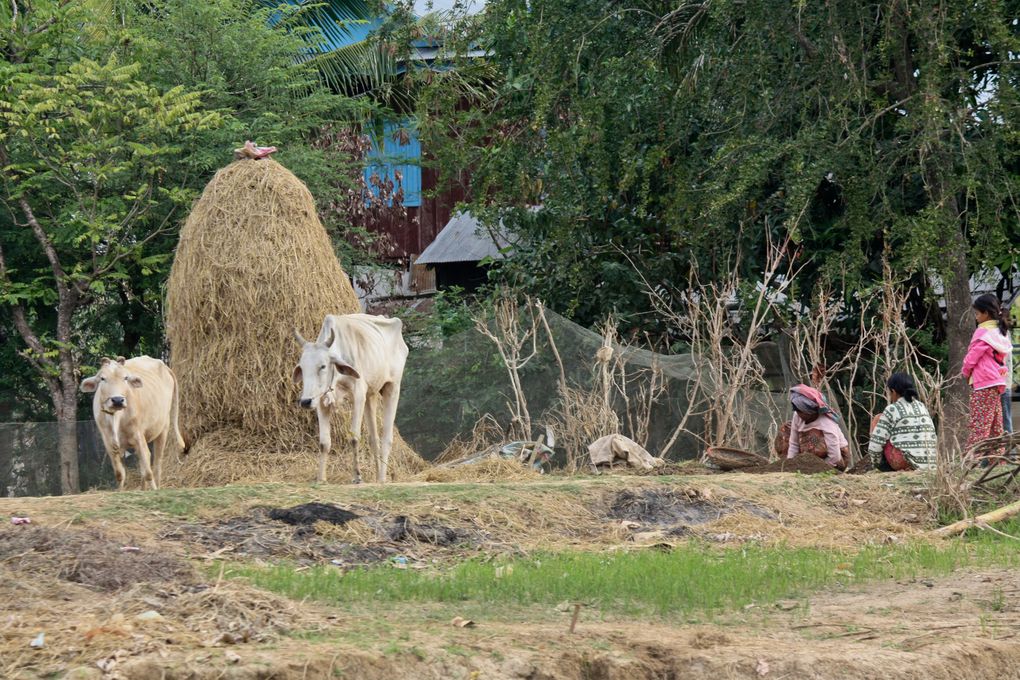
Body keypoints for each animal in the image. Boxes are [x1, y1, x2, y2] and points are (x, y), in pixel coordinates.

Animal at [80, 356, 184, 489]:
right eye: (102, 378)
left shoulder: (138, 436)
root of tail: (164, 365)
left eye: (126, 378)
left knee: (156, 465)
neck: (116, 418)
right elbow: (120, 474)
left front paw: (154, 490)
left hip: (163, 428)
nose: (117, 400)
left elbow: (148, 472)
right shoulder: (108, 442)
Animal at [293, 314, 408, 483]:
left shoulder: (358, 395)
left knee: (386, 439)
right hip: (371, 395)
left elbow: (354, 437)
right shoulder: (321, 402)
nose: (305, 402)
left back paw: (382, 479)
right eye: (302, 367)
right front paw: (321, 478)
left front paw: (357, 476)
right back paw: (377, 476)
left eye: (323, 366)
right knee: (374, 439)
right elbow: (324, 442)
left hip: (392, 388)